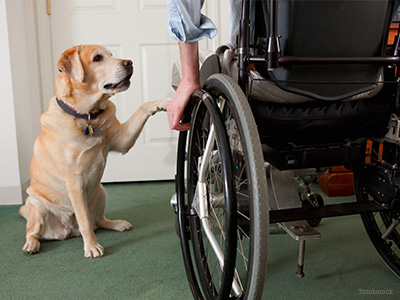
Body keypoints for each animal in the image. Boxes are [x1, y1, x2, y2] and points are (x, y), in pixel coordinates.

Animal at [18, 44, 169, 258]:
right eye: (98, 58)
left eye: (112, 55)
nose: (129, 62)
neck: (88, 116)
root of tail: (68, 231)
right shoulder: (74, 182)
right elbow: (85, 223)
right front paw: (91, 246)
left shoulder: (121, 140)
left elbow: (142, 107)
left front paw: (163, 102)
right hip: (36, 204)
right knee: (34, 231)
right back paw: (31, 244)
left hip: (100, 192)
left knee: (99, 221)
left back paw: (118, 224)